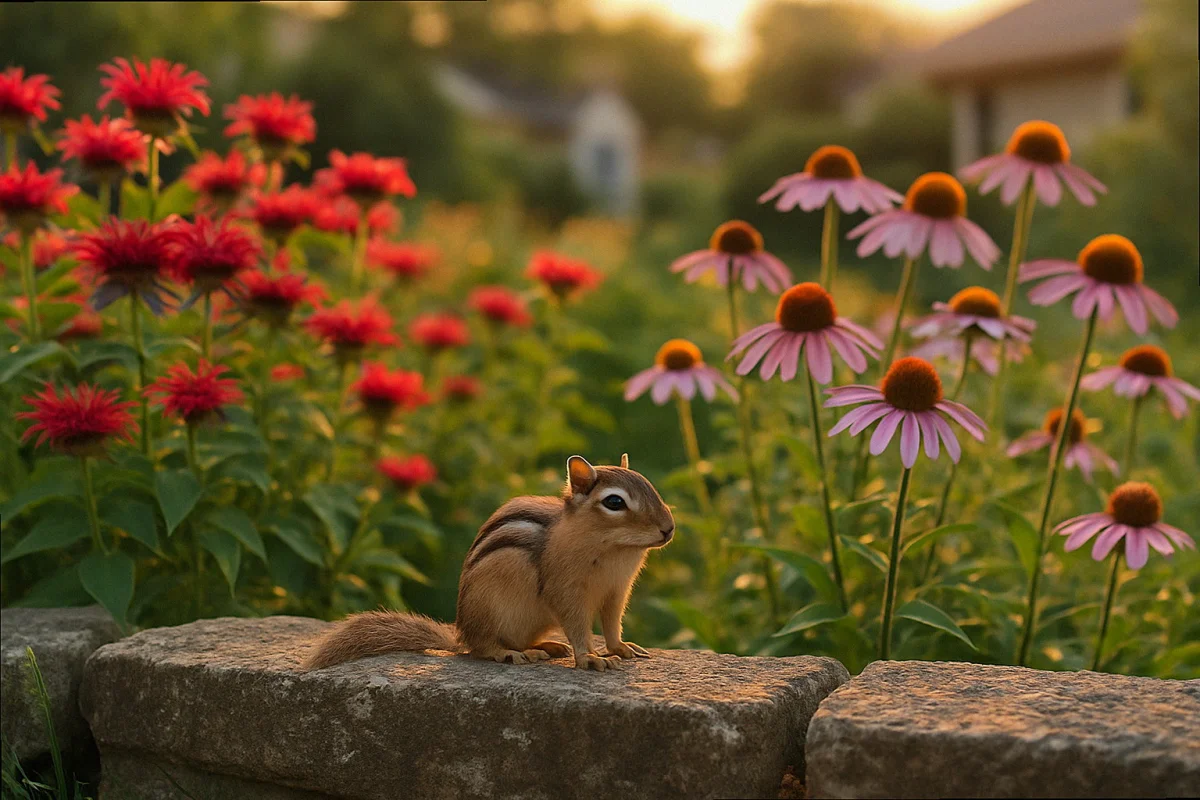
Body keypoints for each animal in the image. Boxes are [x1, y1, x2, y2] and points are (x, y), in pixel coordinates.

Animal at [303, 454, 675, 672]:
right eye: (614, 502)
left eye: (650, 486)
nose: (669, 529)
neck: (614, 550)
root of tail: (460, 632)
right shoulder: (566, 589)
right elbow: (578, 626)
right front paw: (589, 657)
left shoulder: (617, 591)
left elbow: (612, 623)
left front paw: (620, 648)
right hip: (490, 609)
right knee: (483, 648)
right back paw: (512, 654)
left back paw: (545, 646)